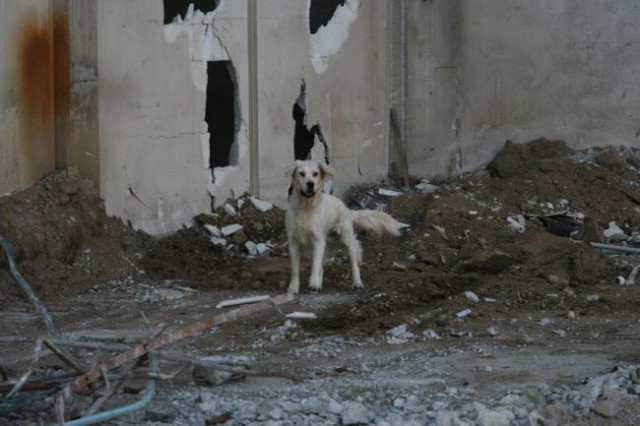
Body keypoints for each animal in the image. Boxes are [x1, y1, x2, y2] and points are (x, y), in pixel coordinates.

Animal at [286, 160, 402, 292]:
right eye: (302, 173)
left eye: (315, 174)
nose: (310, 184)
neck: (305, 207)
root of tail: (347, 209)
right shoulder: (293, 243)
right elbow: (295, 270)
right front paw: (293, 288)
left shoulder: (318, 241)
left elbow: (315, 266)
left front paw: (314, 283)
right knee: (321, 267)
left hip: (347, 241)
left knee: (354, 265)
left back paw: (357, 283)